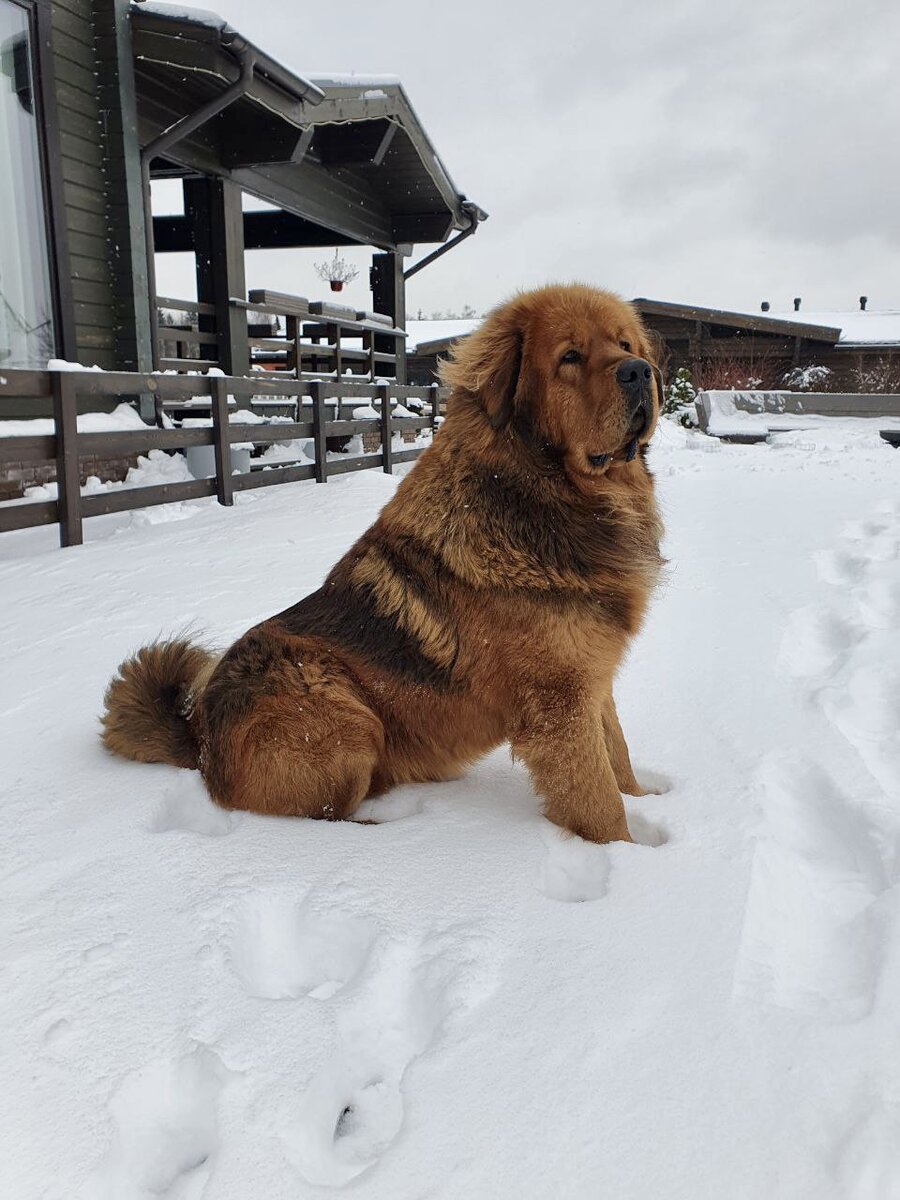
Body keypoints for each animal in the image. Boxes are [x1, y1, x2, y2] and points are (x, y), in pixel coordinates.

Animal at [102, 283, 667, 844]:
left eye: (624, 345)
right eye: (570, 356)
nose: (639, 371)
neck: (545, 497)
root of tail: (199, 737)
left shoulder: (593, 679)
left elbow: (617, 757)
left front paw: (648, 803)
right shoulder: (558, 703)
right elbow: (599, 802)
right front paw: (631, 852)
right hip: (347, 721)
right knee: (322, 815)